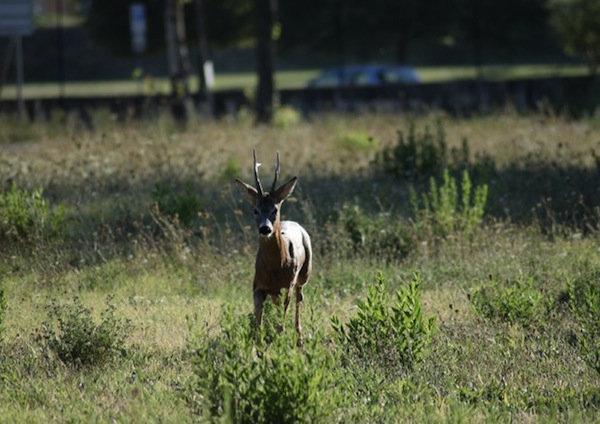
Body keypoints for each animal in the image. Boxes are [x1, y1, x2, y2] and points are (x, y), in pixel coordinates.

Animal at [234, 151, 312, 346]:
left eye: (275, 209)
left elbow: (280, 323)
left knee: (299, 299)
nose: (265, 229)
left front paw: (278, 343)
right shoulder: (257, 286)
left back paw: (299, 339)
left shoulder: (288, 284)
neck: (275, 268)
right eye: (255, 210)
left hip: (304, 274)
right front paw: (259, 346)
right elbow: (258, 324)